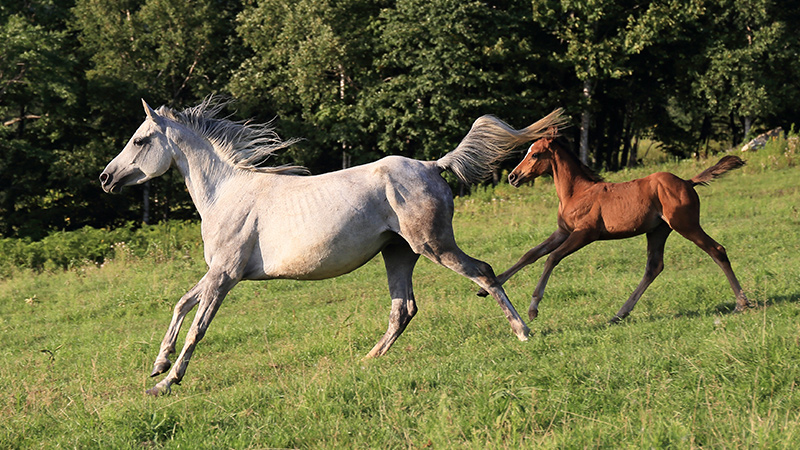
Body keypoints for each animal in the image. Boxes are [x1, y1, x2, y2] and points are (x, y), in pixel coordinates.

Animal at [98, 97, 564, 394]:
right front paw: (158, 365)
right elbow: (181, 304)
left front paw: (165, 383)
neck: (226, 194)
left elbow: (198, 326)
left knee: (483, 273)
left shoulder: (225, 276)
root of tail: (433, 165)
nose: (106, 178)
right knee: (404, 309)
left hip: (433, 245)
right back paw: (368, 360)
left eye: (140, 140)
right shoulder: (219, 273)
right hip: (399, 253)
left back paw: (523, 332)